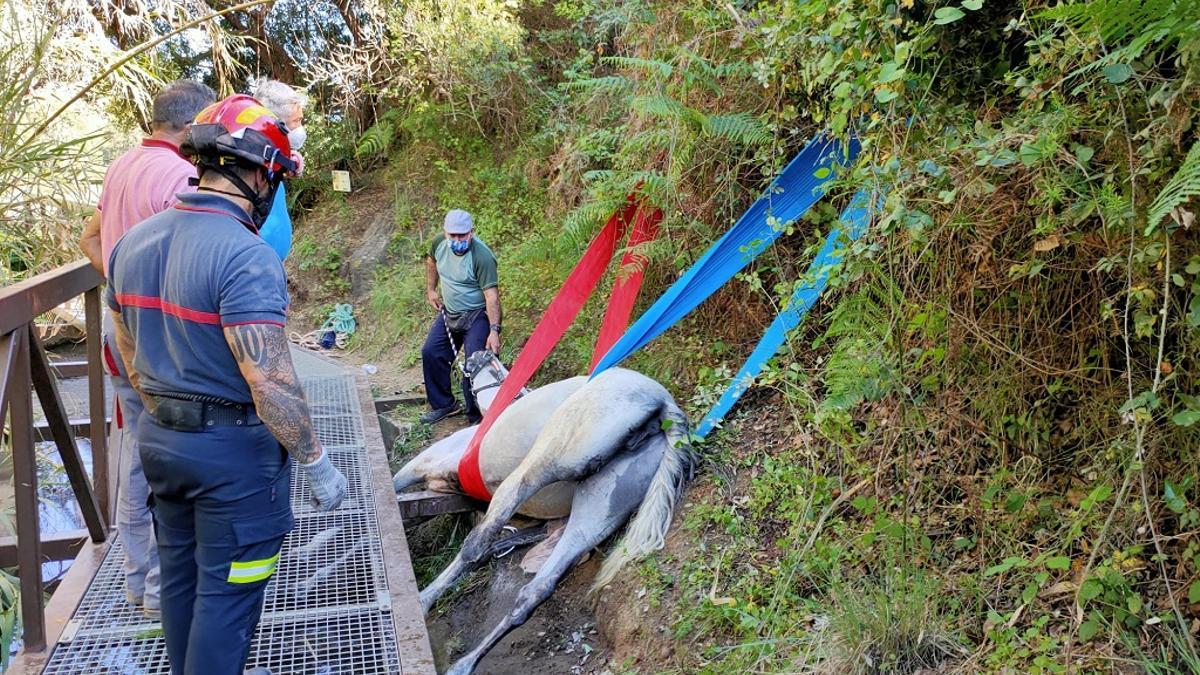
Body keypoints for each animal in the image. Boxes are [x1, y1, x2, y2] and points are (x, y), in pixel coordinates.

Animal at [393, 353, 696, 672]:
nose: (472, 357)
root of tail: (663, 402)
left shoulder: (424, 463)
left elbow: (398, 490)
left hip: (553, 453)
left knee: (478, 542)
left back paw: (425, 602)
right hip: (604, 501)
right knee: (538, 585)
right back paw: (465, 662)